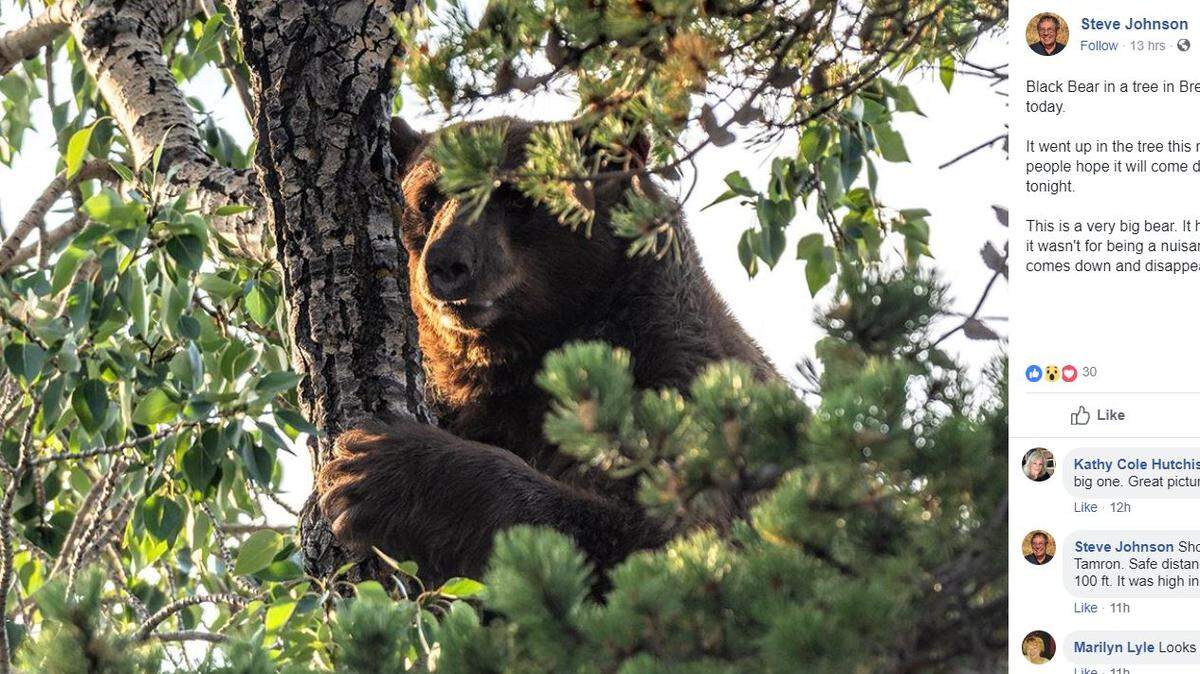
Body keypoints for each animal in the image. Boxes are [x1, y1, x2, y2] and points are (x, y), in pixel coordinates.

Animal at [316, 117, 776, 585]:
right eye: (428, 198)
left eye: (515, 196)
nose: (446, 263)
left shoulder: (674, 379)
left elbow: (659, 537)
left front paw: (375, 469)